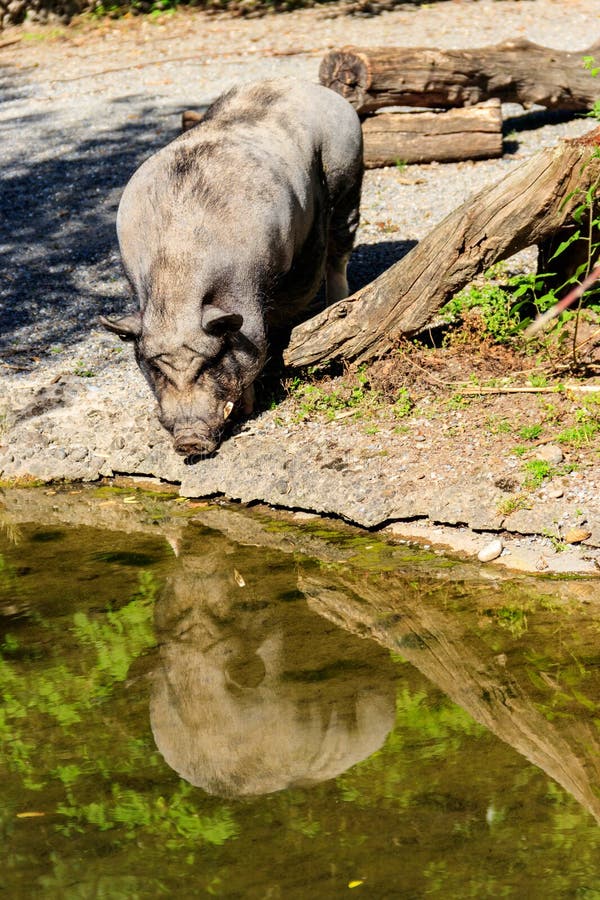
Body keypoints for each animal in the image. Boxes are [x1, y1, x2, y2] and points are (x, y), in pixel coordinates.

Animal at [100, 78, 363, 457]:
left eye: (211, 361)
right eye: (155, 367)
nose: (189, 440)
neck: (178, 269)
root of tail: (309, 86)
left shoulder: (250, 294)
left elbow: (257, 344)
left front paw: (249, 408)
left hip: (348, 173)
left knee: (340, 246)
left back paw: (336, 302)